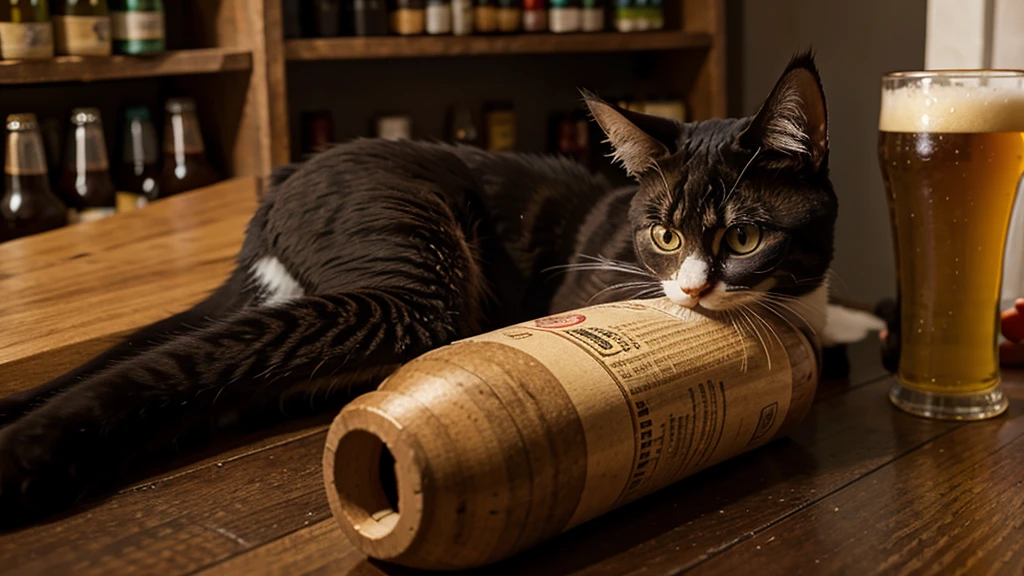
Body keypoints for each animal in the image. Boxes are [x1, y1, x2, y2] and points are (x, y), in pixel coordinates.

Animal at [0, 53, 839, 524]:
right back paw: (28, 458)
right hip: (411, 274)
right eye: (665, 236)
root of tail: (277, 196)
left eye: (743, 237)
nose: (693, 293)